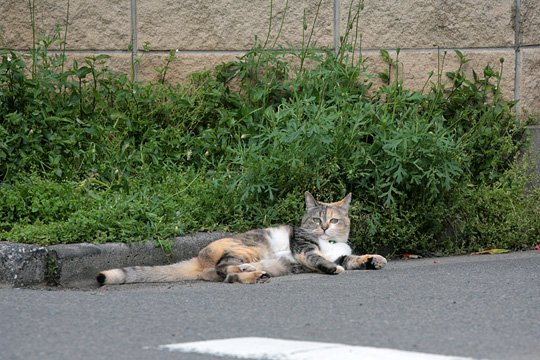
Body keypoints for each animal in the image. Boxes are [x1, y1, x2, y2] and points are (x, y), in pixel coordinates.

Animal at [95, 193, 386, 286]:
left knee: (226, 274)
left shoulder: (342, 254)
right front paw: (332, 269)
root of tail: (198, 257)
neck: (330, 244)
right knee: (222, 270)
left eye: (334, 221)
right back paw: (251, 273)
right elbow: (319, 259)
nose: (325, 227)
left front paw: (375, 260)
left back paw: (255, 274)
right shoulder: (304, 250)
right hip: (246, 248)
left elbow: (354, 258)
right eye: (316, 220)